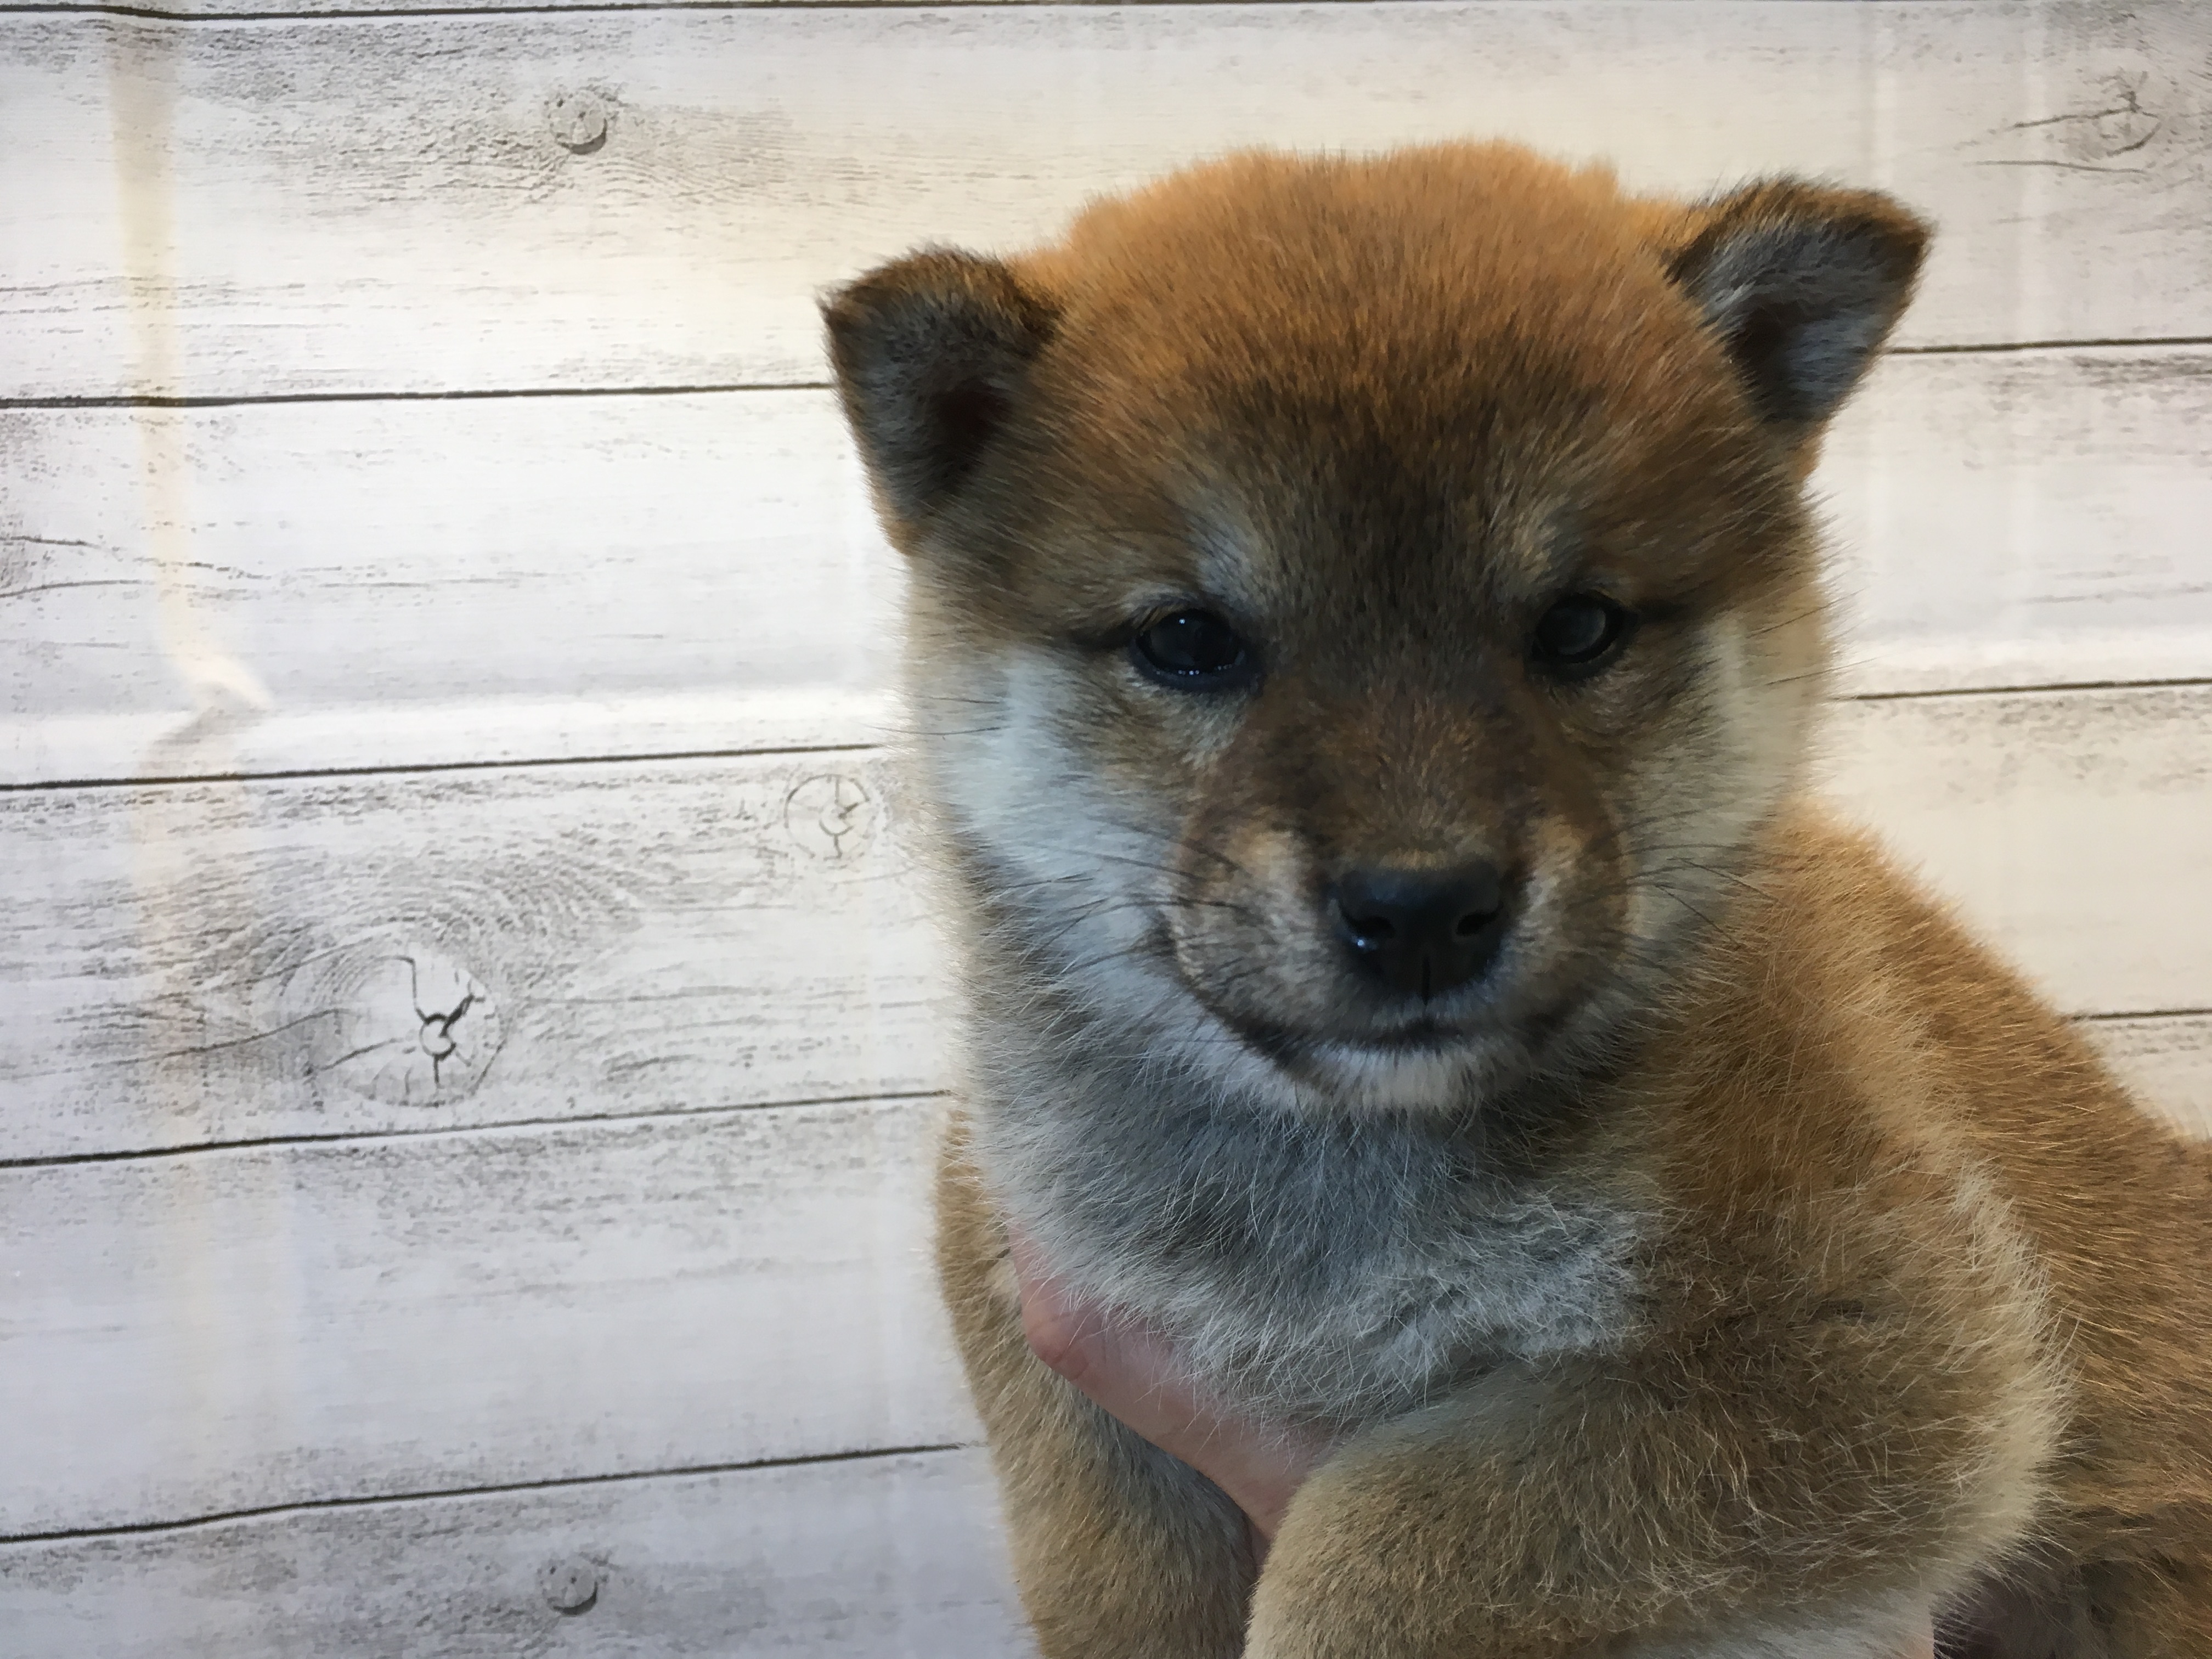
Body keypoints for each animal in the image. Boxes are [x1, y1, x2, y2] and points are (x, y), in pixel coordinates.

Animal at [822, 143, 2203, 1659]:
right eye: (1188, 640)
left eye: (1581, 627)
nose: (1424, 906)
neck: (1341, 1196)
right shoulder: (1036, 1304)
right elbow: (1111, 1574)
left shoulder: (1869, 1346)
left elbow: (1374, 1538)